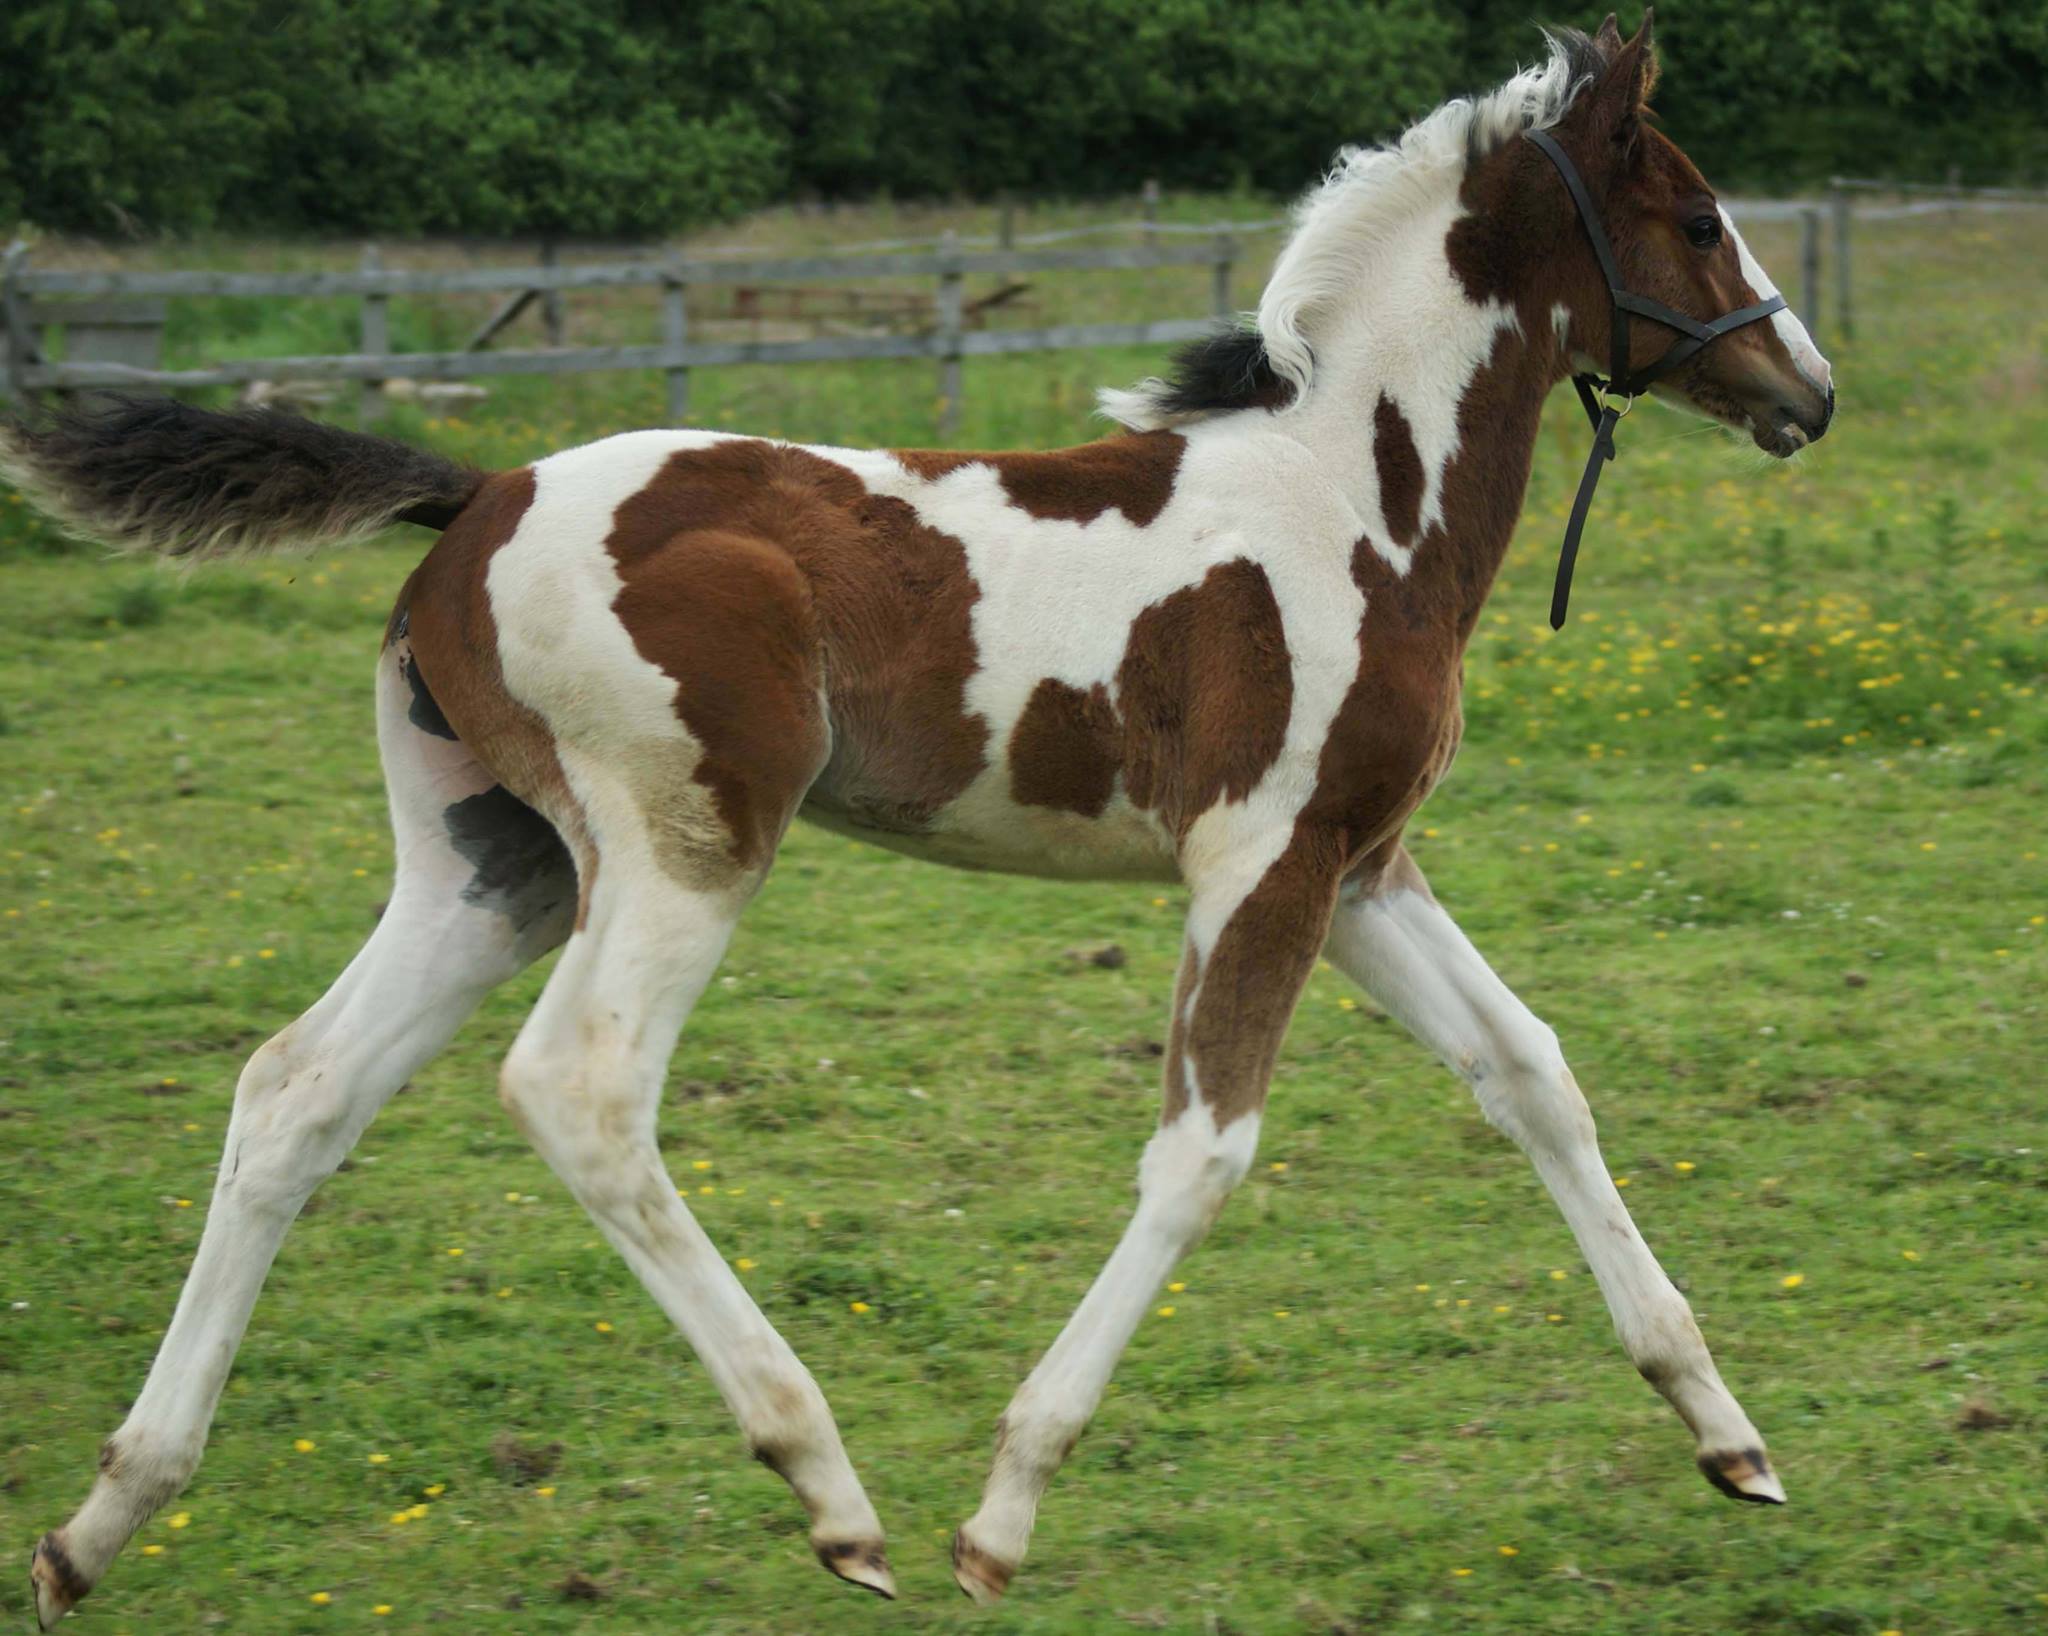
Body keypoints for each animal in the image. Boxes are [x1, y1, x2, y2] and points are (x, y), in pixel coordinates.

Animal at [8, 15, 1835, 1621]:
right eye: (1694, 217)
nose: (1804, 389)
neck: (1349, 503)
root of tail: (477, 494)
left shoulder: (1363, 868)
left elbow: (1529, 1073)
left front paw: (1727, 1437)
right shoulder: (1260, 864)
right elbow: (1201, 1153)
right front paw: (1002, 1513)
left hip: (489, 868)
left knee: (294, 1089)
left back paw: (103, 1520)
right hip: (677, 850)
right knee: (581, 1089)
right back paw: (830, 1491)